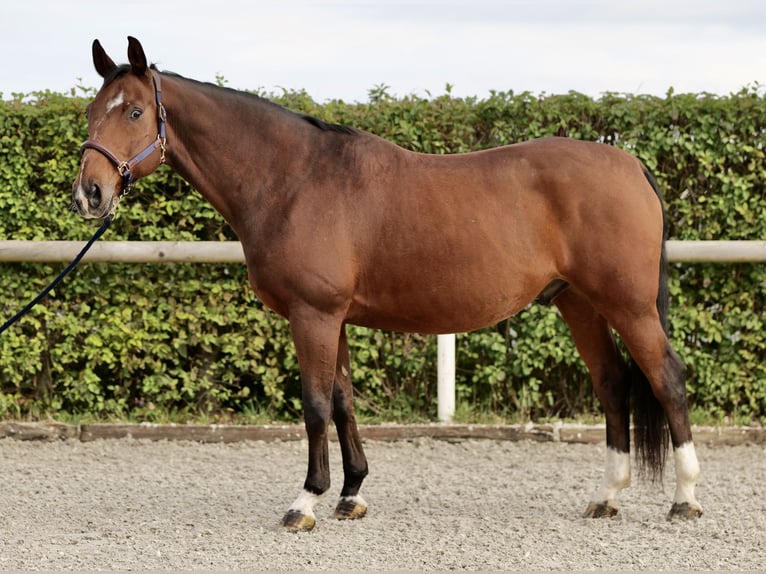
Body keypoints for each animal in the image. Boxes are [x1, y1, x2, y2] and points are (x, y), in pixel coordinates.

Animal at [72, 35, 704, 532]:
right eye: (91, 112)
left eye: (134, 113)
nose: (89, 194)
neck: (294, 179)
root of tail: (630, 164)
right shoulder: (334, 318)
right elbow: (344, 401)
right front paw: (351, 495)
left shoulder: (314, 314)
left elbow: (315, 404)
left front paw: (305, 501)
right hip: (580, 304)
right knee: (613, 384)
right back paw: (607, 497)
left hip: (629, 305)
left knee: (667, 380)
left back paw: (685, 499)